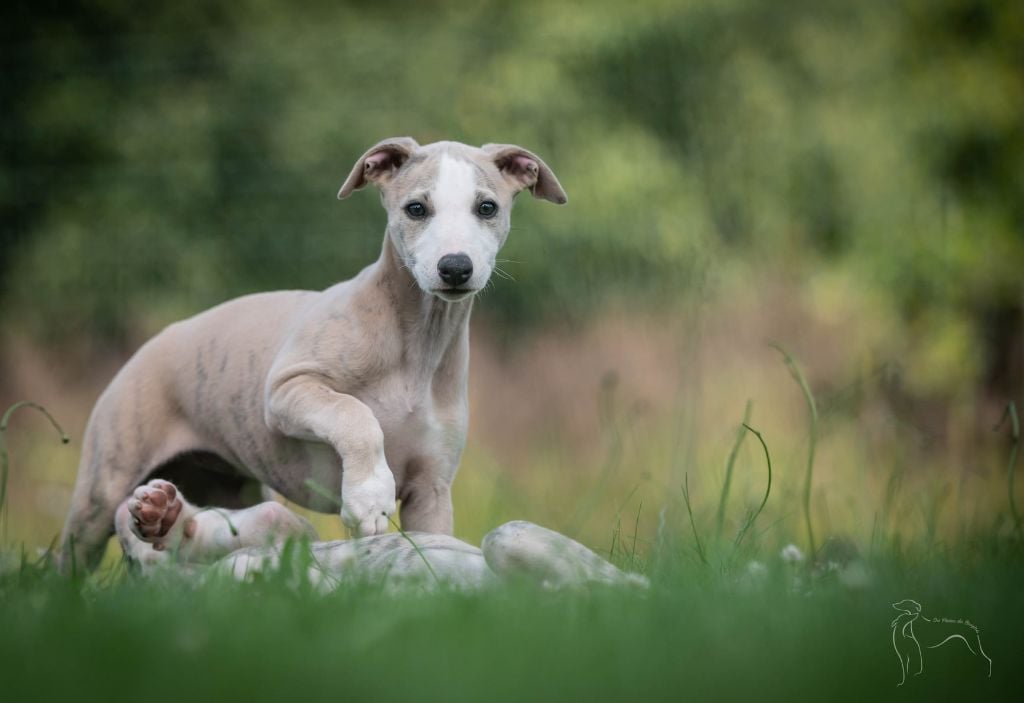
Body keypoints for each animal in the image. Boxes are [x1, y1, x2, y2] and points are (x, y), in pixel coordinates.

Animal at [56, 136, 638, 589]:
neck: (417, 344)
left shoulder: (431, 489)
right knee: (71, 556)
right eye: (416, 209)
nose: (455, 268)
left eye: (487, 208)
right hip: (101, 488)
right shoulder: (286, 392)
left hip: (232, 484)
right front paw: (368, 497)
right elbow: (355, 415)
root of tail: (156, 339)